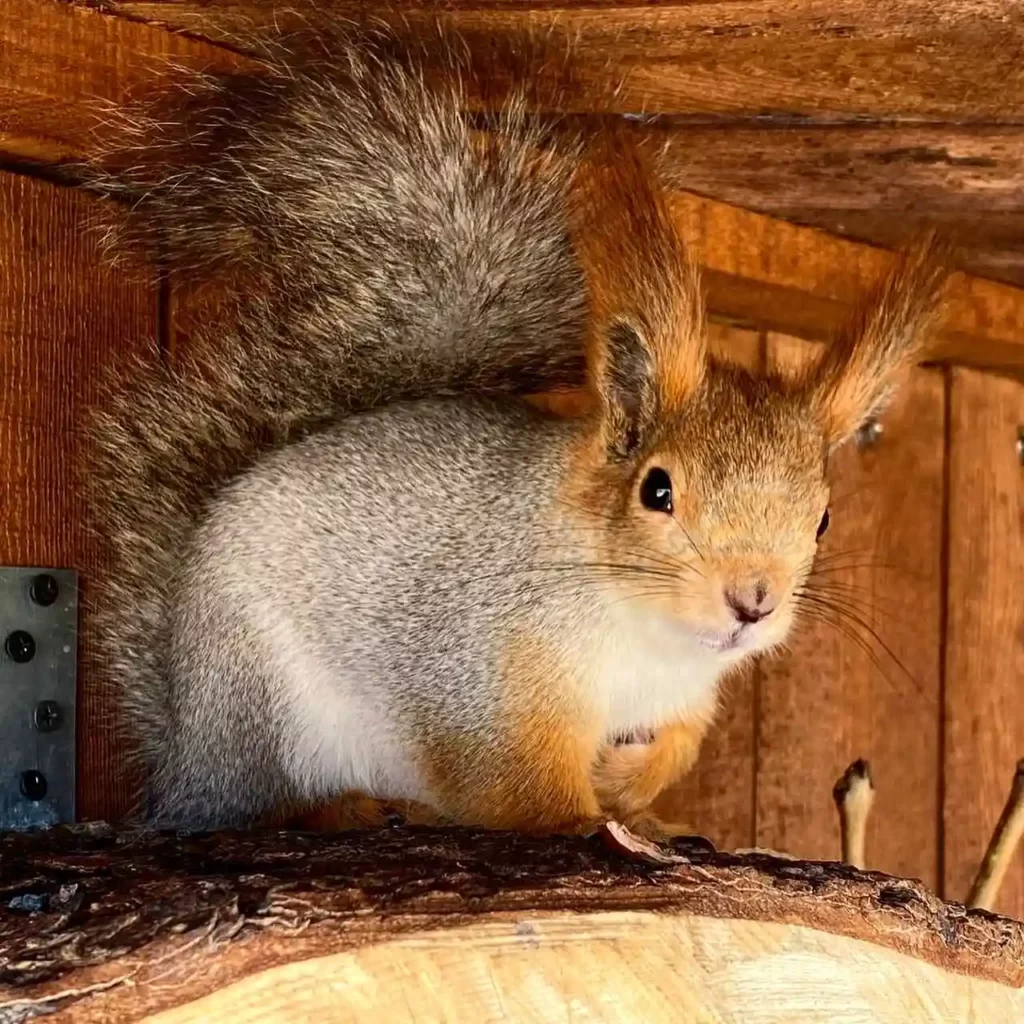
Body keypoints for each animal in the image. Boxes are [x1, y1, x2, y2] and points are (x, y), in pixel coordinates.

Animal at [87, 25, 950, 836]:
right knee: (258, 805)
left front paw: (636, 796)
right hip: (257, 705)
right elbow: (508, 774)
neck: (651, 634)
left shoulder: (684, 697)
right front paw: (580, 818)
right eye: (657, 490)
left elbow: (674, 747)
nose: (754, 602)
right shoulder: (482, 667)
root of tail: (186, 754)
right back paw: (340, 808)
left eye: (824, 518)